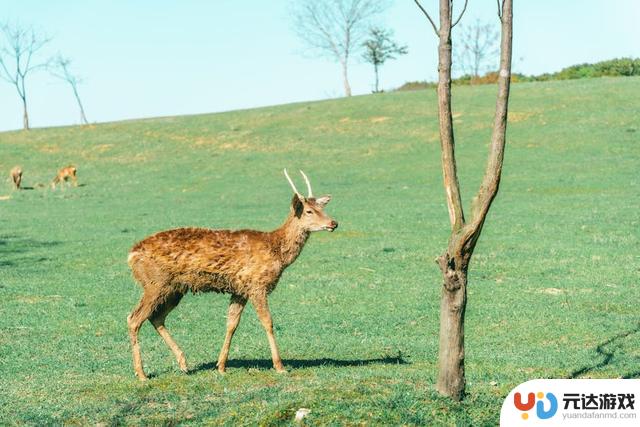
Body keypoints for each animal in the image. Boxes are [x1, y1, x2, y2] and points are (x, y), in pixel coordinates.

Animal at [124, 169, 336, 380]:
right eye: (309, 211)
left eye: (321, 207)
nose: (333, 223)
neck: (277, 253)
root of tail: (131, 255)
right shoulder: (256, 285)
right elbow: (268, 322)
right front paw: (279, 366)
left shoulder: (240, 289)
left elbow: (231, 324)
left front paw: (221, 366)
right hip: (155, 282)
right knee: (134, 318)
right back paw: (141, 374)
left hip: (175, 288)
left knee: (156, 317)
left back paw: (183, 363)